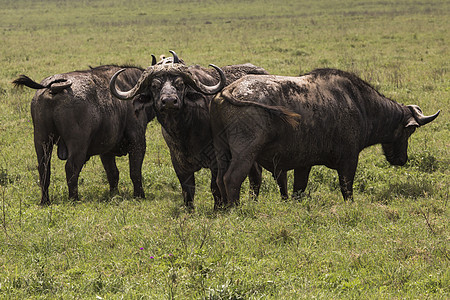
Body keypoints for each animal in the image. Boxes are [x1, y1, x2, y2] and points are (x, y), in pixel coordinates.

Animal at [12, 64, 156, 205]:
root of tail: (53, 88)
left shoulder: (106, 150)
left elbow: (113, 173)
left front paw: (114, 194)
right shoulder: (138, 142)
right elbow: (135, 172)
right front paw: (139, 195)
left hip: (42, 140)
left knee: (43, 169)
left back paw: (45, 201)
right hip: (78, 145)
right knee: (71, 167)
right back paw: (74, 199)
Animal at [110, 51, 288, 210]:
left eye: (180, 84)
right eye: (154, 86)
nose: (169, 101)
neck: (185, 132)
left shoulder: (216, 160)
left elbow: (215, 186)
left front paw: (218, 208)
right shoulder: (178, 161)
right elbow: (187, 189)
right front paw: (189, 210)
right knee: (256, 173)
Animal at [210, 67, 440, 206]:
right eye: (410, 131)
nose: (402, 159)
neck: (361, 104)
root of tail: (228, 91)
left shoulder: (303, 164)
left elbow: (298, 190)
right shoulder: (349, 160)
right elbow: (347, 189)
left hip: (221, 151)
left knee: (220, 179)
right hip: (245, 153)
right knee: (232, 178)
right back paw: (236, 208)